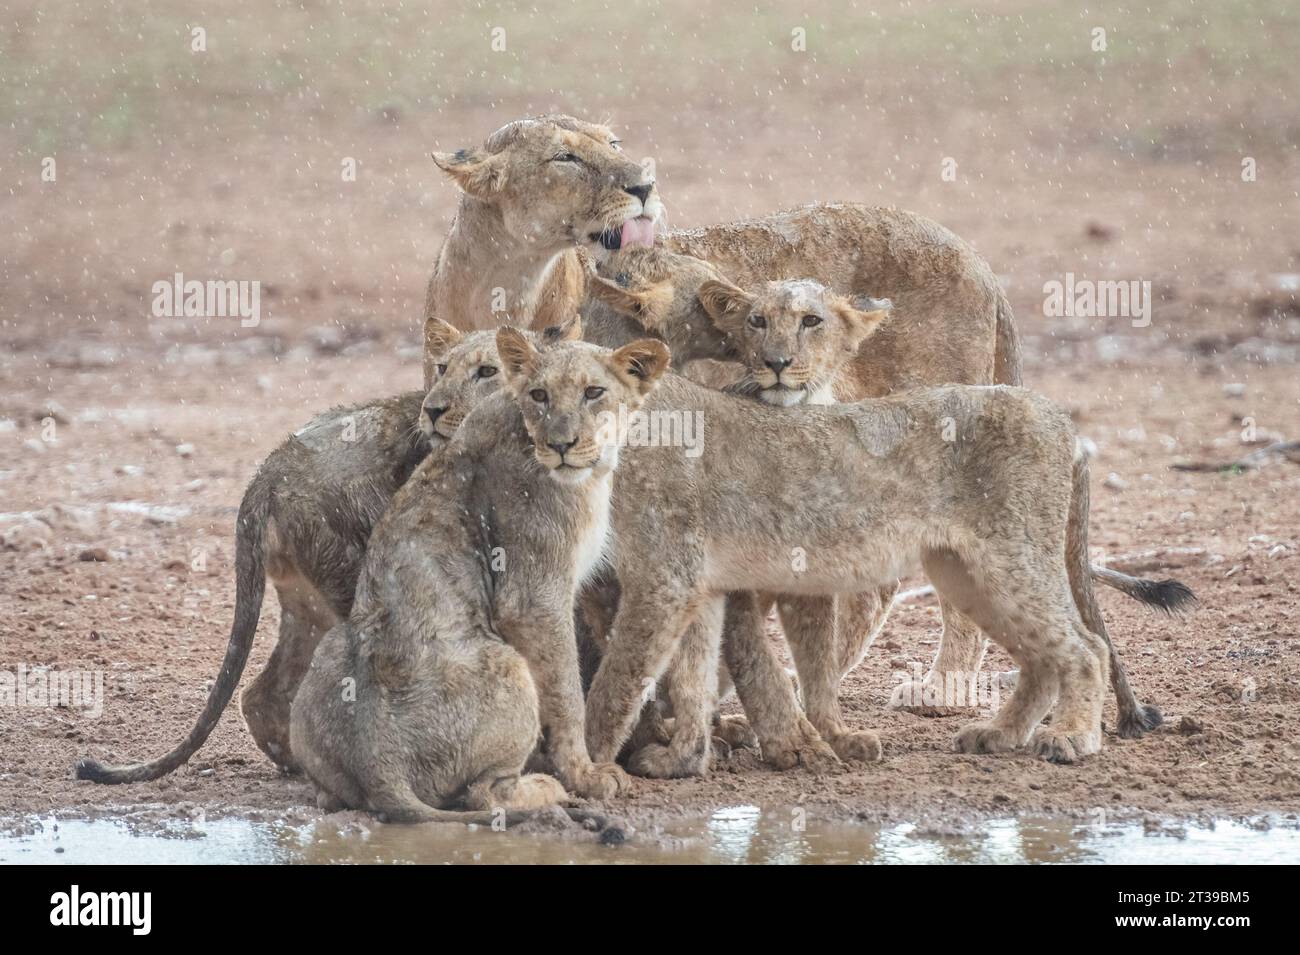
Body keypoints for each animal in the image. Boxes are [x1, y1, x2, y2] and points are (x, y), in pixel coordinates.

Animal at [74, 320, 578, 785]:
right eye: (442, 368)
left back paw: (296, 765)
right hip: (352, 580)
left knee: (263, 694)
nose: (432, 410)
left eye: (487, 371)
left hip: (307, 597)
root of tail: (265, 476)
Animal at [288, 331, 672, 818]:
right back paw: (546, 786)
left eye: (594, 392)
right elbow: (567, 692)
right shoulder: (533, 597)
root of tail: (381, 766)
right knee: (484, 794)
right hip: (508, 663)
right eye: (540, 395)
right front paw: (585, 775)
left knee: (332, 793)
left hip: (331, 648)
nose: (562, 445)